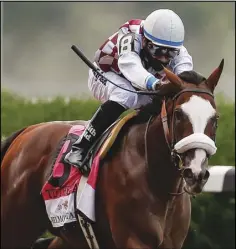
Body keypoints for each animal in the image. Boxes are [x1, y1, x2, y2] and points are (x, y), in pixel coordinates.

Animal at [1, 60, 223, 249]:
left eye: (215, 117)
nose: (196, 173)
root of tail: (25, 132)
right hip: (15, 227)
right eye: (178, 114)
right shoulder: (134, 240)